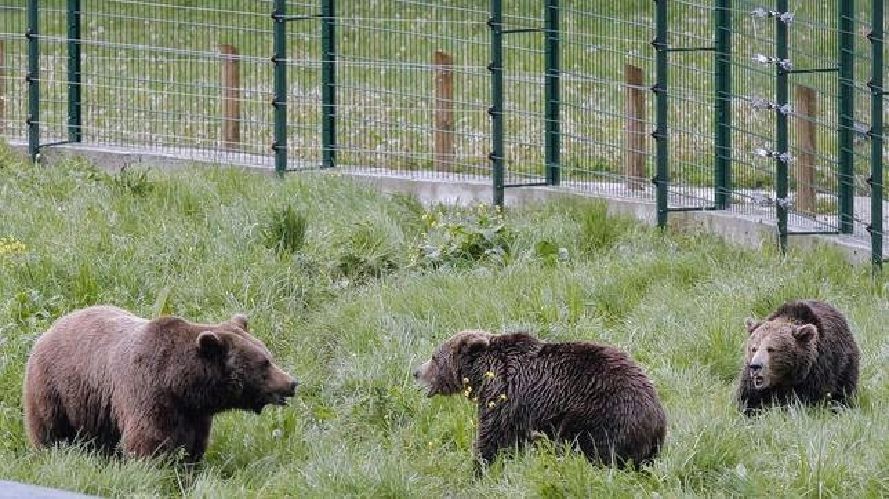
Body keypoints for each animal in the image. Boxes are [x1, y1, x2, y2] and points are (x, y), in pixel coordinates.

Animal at [23, 305, 298, 461]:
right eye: (265, 363)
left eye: (268, 356)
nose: (292, 382)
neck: (181, 385)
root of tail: (50, 328)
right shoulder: (147, 392)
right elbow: (149, 441)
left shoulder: (194, 414)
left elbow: (194, 446)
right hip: (56, 389)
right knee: (51, 430)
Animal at [413, 330, 666, 470]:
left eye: (434, 357)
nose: (416, 372)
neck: (484, 375)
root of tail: (656, 417)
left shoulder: (505, 398)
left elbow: (493, 438)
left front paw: (478, 469)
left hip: (600, 413)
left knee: (596, 450)